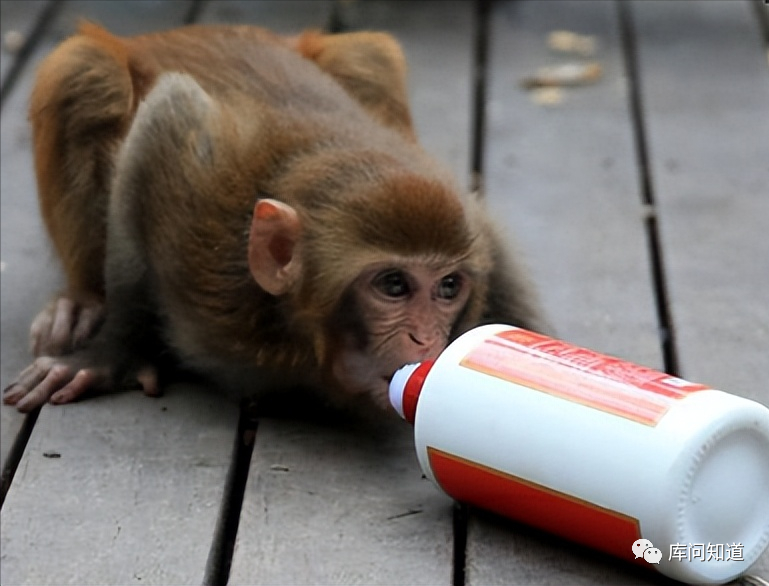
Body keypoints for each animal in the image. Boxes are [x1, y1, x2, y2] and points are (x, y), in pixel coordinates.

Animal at [2, 22, 549, 415]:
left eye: (448, 287)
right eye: (393, 285)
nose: (427, 341)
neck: (297, 339)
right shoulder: (205, 223)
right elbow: (168, 117)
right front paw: (112, 353)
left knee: (371, 56)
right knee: (81, 69)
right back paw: (82, 300)